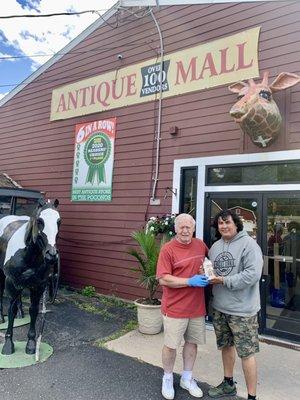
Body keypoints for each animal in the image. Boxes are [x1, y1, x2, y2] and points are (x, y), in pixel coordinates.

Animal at [0, 198, 60, 354]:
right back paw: (1, 318)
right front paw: (8, 344)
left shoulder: (38, 285)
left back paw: (21, 313)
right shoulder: (11, 282)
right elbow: (11, 310)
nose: (51, 255)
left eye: (59, 221)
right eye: (40, 220)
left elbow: (33, 311)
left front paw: (31, 343)